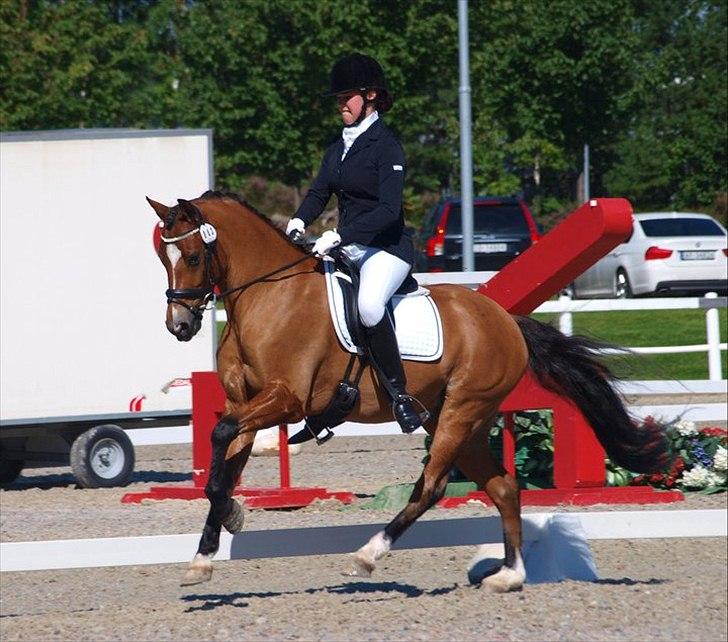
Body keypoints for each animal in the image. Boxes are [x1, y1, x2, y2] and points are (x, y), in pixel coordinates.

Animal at [146, 189, 672, 592]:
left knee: (432, 486)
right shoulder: (246, 403)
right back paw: (509, 576)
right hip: (462, 420)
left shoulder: (286, 400)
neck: (267, 295)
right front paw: (207, 551)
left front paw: (229, 521)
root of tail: (506, 320)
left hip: (461, 412)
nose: (180, 326)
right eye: (162, 259)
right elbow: (224, 465)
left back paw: (368, 555)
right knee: (503, 486)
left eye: (192, 256)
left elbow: (221, 441)